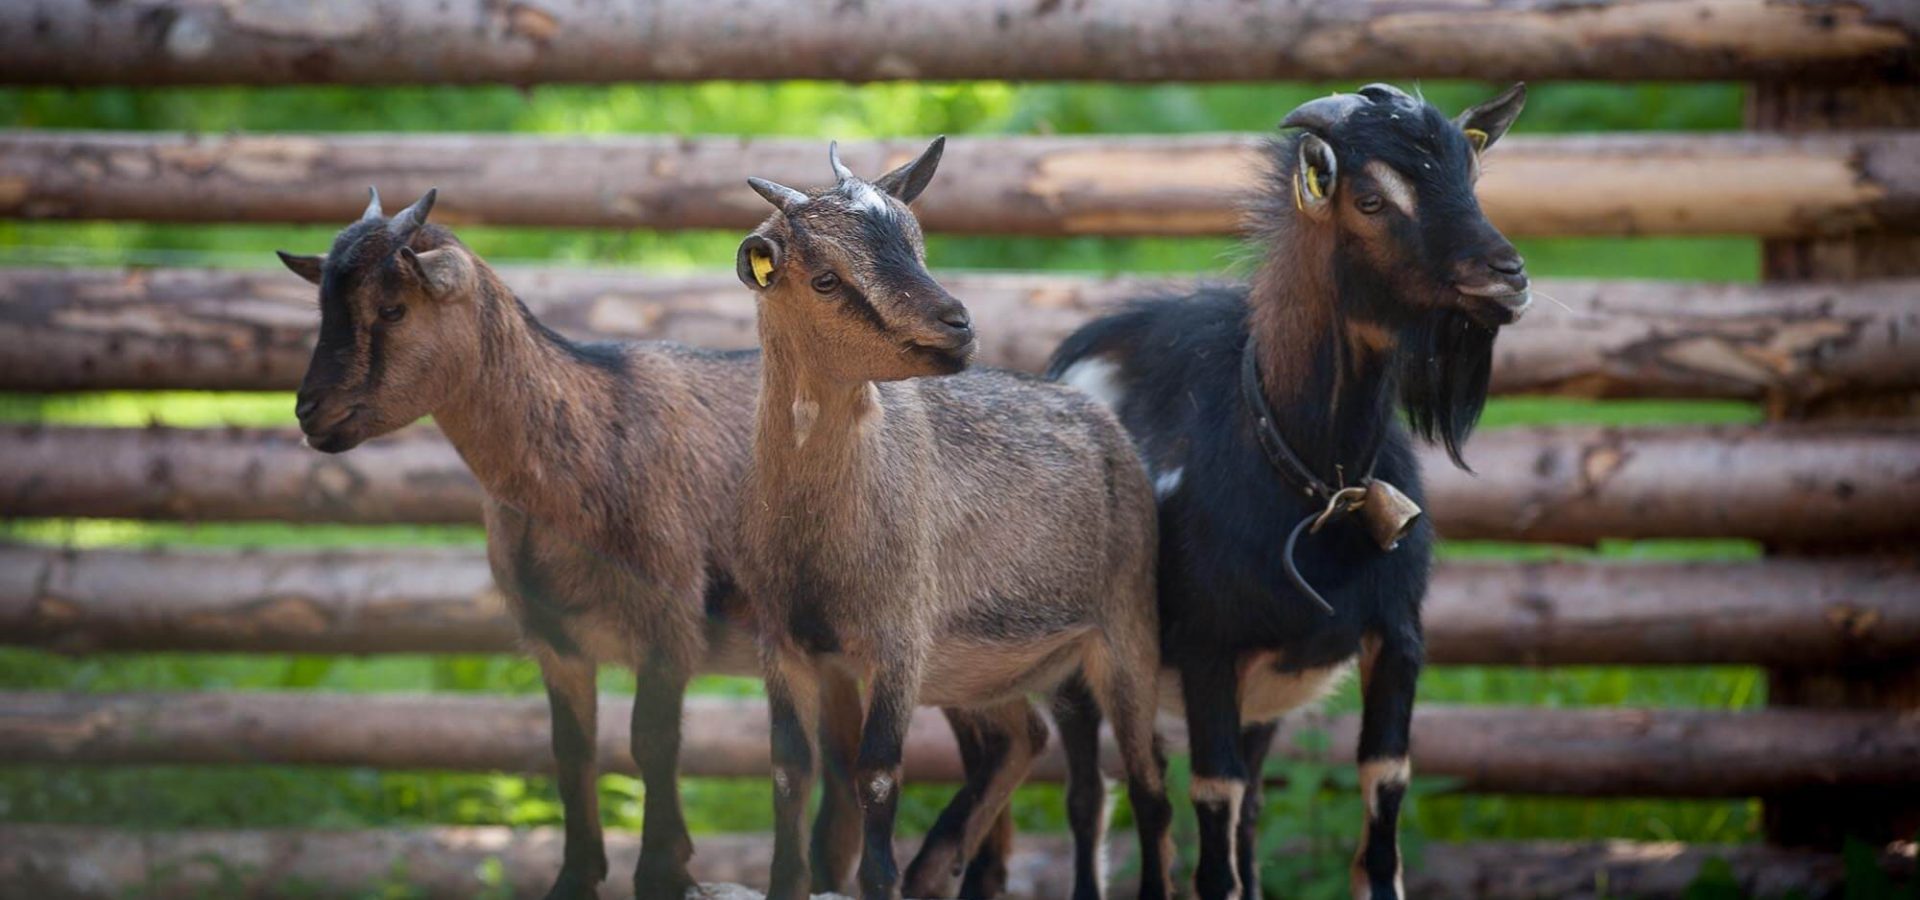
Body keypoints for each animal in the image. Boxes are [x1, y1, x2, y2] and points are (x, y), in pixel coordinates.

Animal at [737, 142, 1167, 898]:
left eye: (918, 244)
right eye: (826, 279)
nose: (957, 325)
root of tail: (1102, 420)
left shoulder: (898, 641)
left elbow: (877, 775)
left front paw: (881, 881)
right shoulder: (791, 646)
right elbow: (793, 773)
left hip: (1125, 633)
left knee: (1147, 783)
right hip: (983, 672)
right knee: (1026, 742)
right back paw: (941, 863)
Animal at [1052, 84, 1528, 898]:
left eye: (1472, 177)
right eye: (1371, 198)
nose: (1507, 274)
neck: (1315, 485)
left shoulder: (1397, 637)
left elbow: (1382, 807)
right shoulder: (1209, 651)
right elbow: (1212, 819)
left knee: (1196, 805)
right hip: (1080, 667)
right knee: (1101, 798)